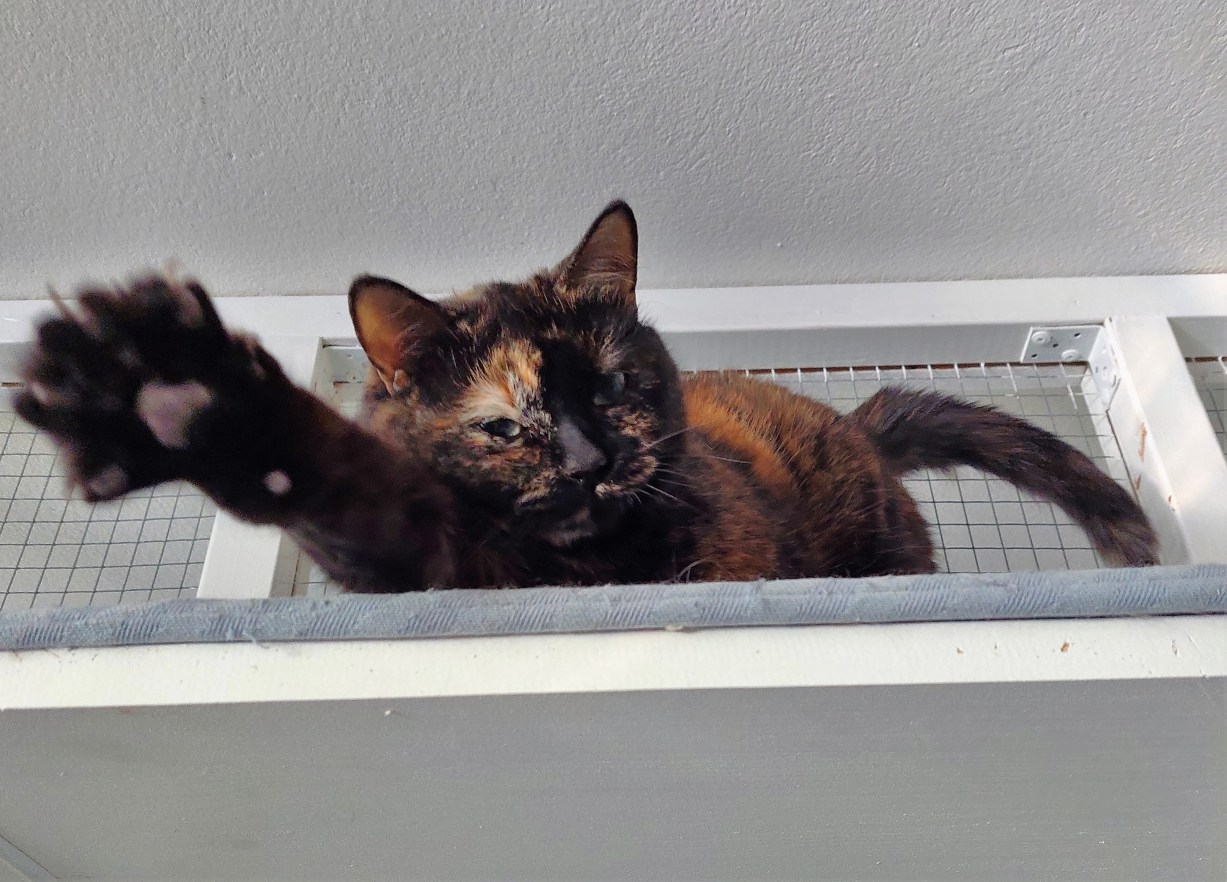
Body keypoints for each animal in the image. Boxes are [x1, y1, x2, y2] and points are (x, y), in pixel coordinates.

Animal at [15, 201, 1158, 592]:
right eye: (505, 426)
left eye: (610, 386)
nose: (591, 461)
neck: (593, 567)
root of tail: (852, 420)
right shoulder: (422, 569)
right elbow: (340, 491)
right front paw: (184, 399)